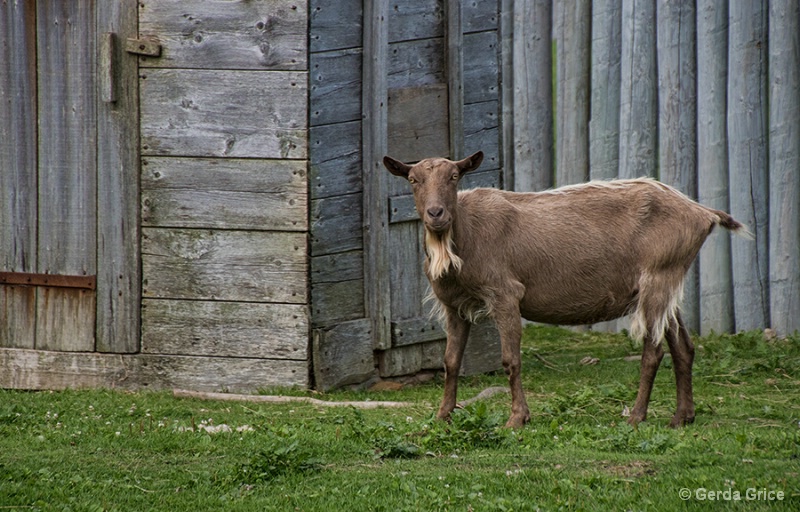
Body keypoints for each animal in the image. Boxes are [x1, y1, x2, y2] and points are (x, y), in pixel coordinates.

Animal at [382, 151, 744, 428]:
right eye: (413, 179)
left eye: (455, 176)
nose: (436, 214)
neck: (464, 239)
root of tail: (704, 214)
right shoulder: (453, 305)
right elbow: (450, 361)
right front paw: (442, 415)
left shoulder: (505, 293)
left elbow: (510, 359)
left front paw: (517, 418)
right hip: (667, 284)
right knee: (684, 347)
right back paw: (682, 417)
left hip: (657, 278)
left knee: (653, 351)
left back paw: (636, 417)